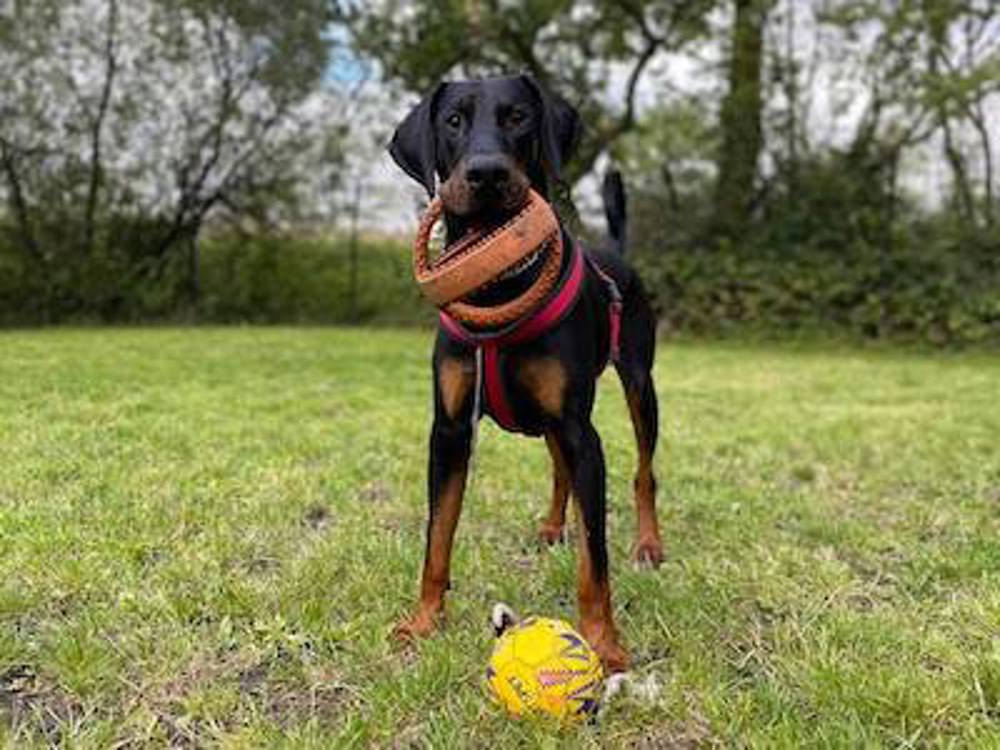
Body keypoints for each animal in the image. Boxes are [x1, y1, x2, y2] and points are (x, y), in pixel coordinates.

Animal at [390, 76, 664, 676]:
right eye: (453, 120)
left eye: (518, 117)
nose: (487, 173)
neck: (501, 290)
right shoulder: (449, 432)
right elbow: (437, 535)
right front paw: (422, 623)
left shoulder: (583, 432)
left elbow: (595, 556)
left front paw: (604, 643)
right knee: (559, 470)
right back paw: (551, 526)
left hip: (639, 385)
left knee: (644, 471)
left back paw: (648, 544)